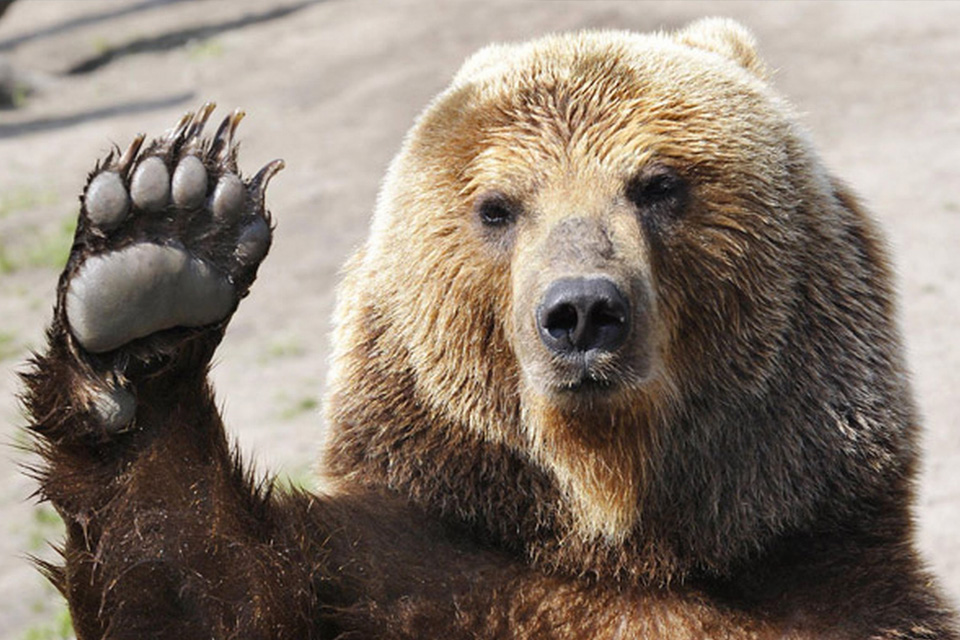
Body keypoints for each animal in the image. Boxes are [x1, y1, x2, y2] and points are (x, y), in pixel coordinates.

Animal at [22, 17, 959, 639]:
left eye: (658, 183)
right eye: (498, 207)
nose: (583, 312)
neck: (616, 530)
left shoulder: (842, 600)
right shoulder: (403, 575)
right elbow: (196, 579)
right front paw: (158, 247)